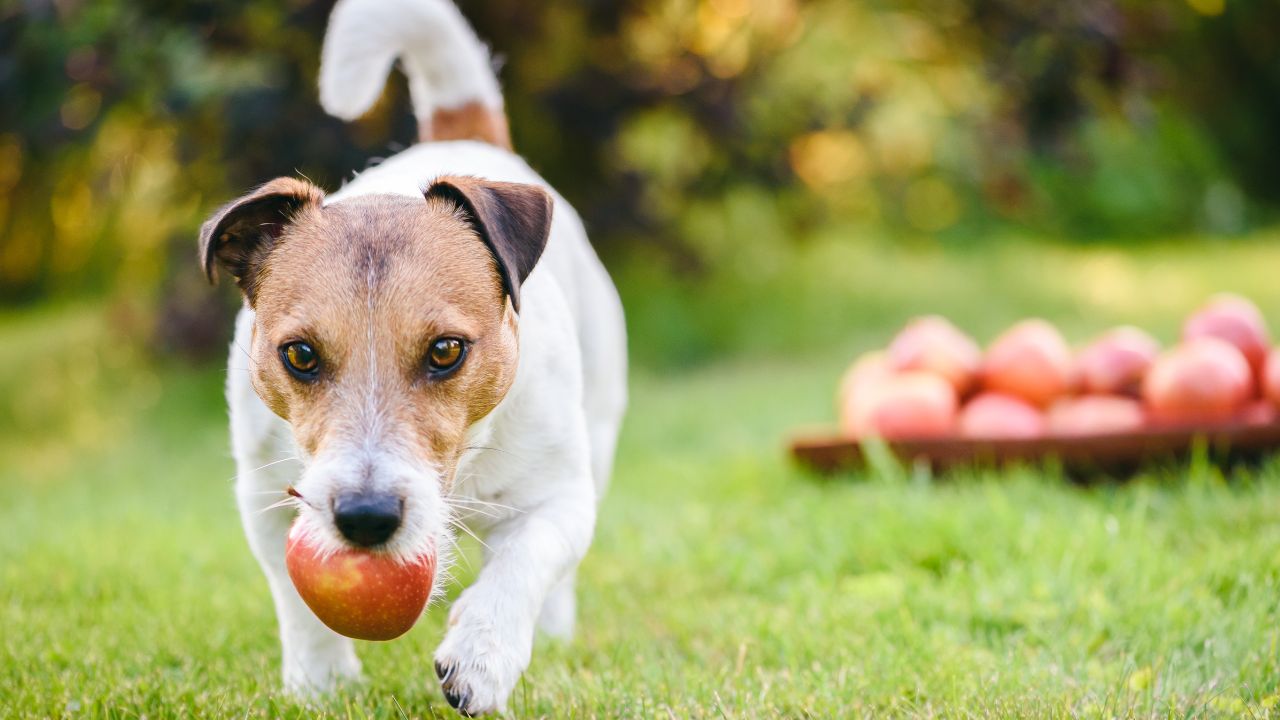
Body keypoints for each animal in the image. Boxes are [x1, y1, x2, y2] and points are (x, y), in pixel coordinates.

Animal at [195, 0, 629, 707]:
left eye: (447, 351)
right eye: (300, 355)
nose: (366, 518)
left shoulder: (559, 494)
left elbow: (526, 559)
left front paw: (483, 654)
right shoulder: (264, 496)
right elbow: (295, 598)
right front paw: (320, 684)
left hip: (601, 423)